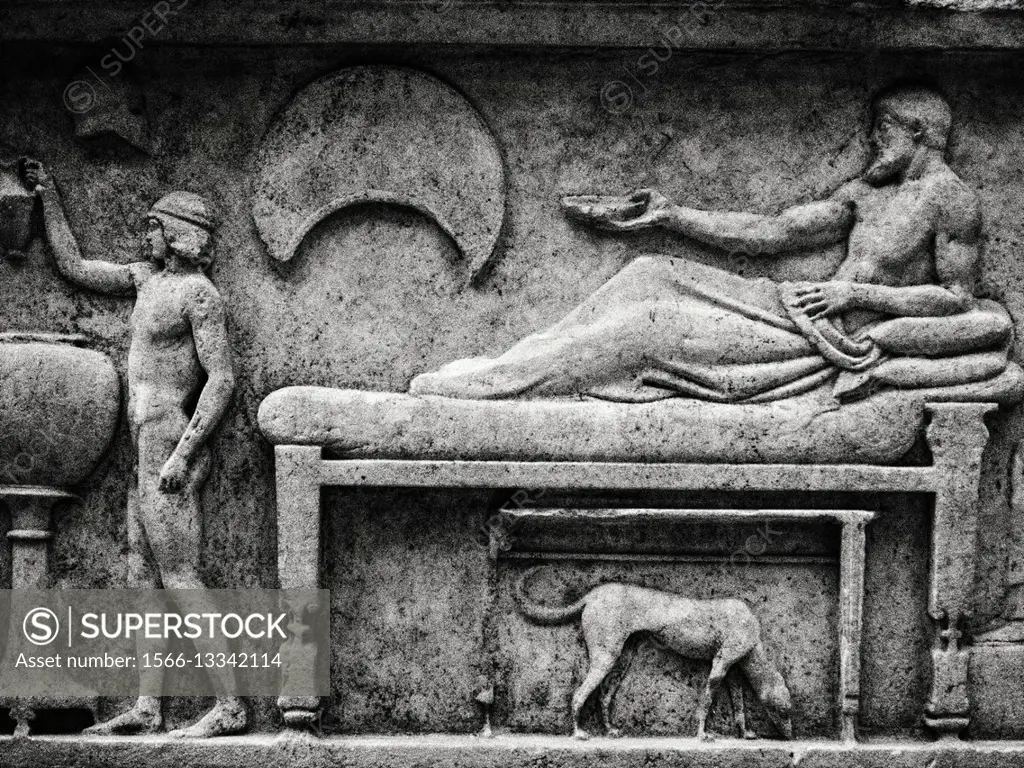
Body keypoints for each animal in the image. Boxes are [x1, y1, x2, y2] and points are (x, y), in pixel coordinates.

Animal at [516, 569, 794, 741]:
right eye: (784, 712)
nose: (790, 735)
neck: (754, 638)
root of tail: (593, 594)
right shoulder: (721, 664)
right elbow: (706, 699)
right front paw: (702, 735)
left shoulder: (732, 670)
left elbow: (739, 704)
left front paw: (745, 733)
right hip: (606, 655)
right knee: (578, 694)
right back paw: (578, 732)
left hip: (622, 658)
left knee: (604, 696)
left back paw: (609, 729)